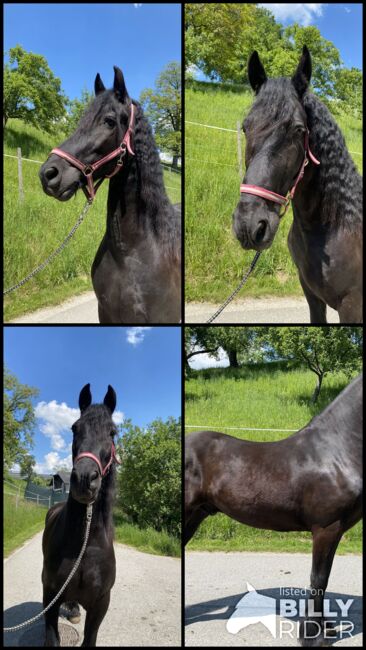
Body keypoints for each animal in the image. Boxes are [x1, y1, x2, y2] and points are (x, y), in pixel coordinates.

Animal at [42, 382, 118, 644]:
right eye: (75, 428)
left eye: (113, 432)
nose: (85, 479)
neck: (86, 544)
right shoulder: (50, 597)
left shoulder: (101, 604)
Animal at [186, 372, 364, 644]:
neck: (336, 452)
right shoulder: (326, 528)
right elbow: (319, 579)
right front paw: (312, 636)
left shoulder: (334, 530)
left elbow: (323, 579)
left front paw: (325, 628)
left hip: (196, 515)